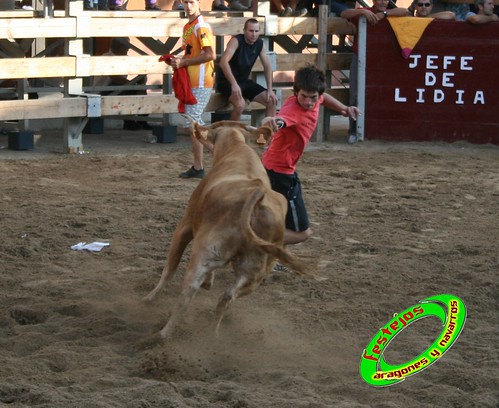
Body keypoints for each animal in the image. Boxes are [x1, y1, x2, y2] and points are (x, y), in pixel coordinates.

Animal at [143, 121, 310, 338]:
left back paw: (161, 335)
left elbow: (170, 267)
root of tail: (257, 194)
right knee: (227, 296)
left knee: (189, 289)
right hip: (255, 271)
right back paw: (213, 335)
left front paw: (150, 298)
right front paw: (209, 282)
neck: (236, 148)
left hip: (204, 250)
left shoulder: (185, 226)